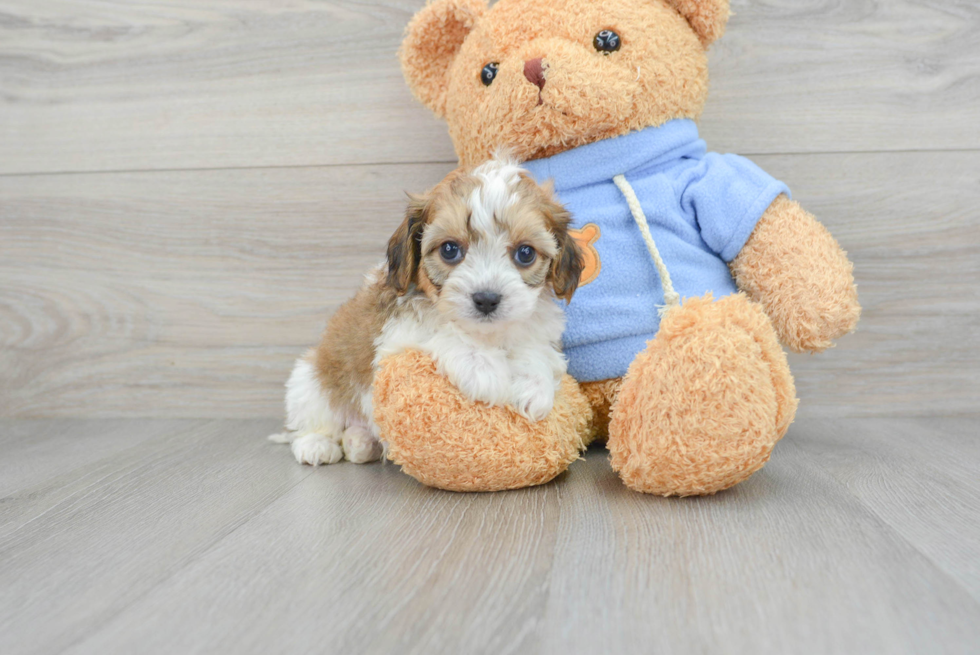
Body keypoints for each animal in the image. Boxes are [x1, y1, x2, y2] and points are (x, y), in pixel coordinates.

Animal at [268, 157, 580, 466]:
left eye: (525, 253)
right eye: (450, 249)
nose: (486, 299)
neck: (486, 334)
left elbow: (535, 347)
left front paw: (533, 384)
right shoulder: (394, 332)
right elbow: (438, 329)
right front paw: (483, 368)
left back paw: (361, 442)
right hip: (310, 381)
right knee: (311, 420)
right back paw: (317, 445)